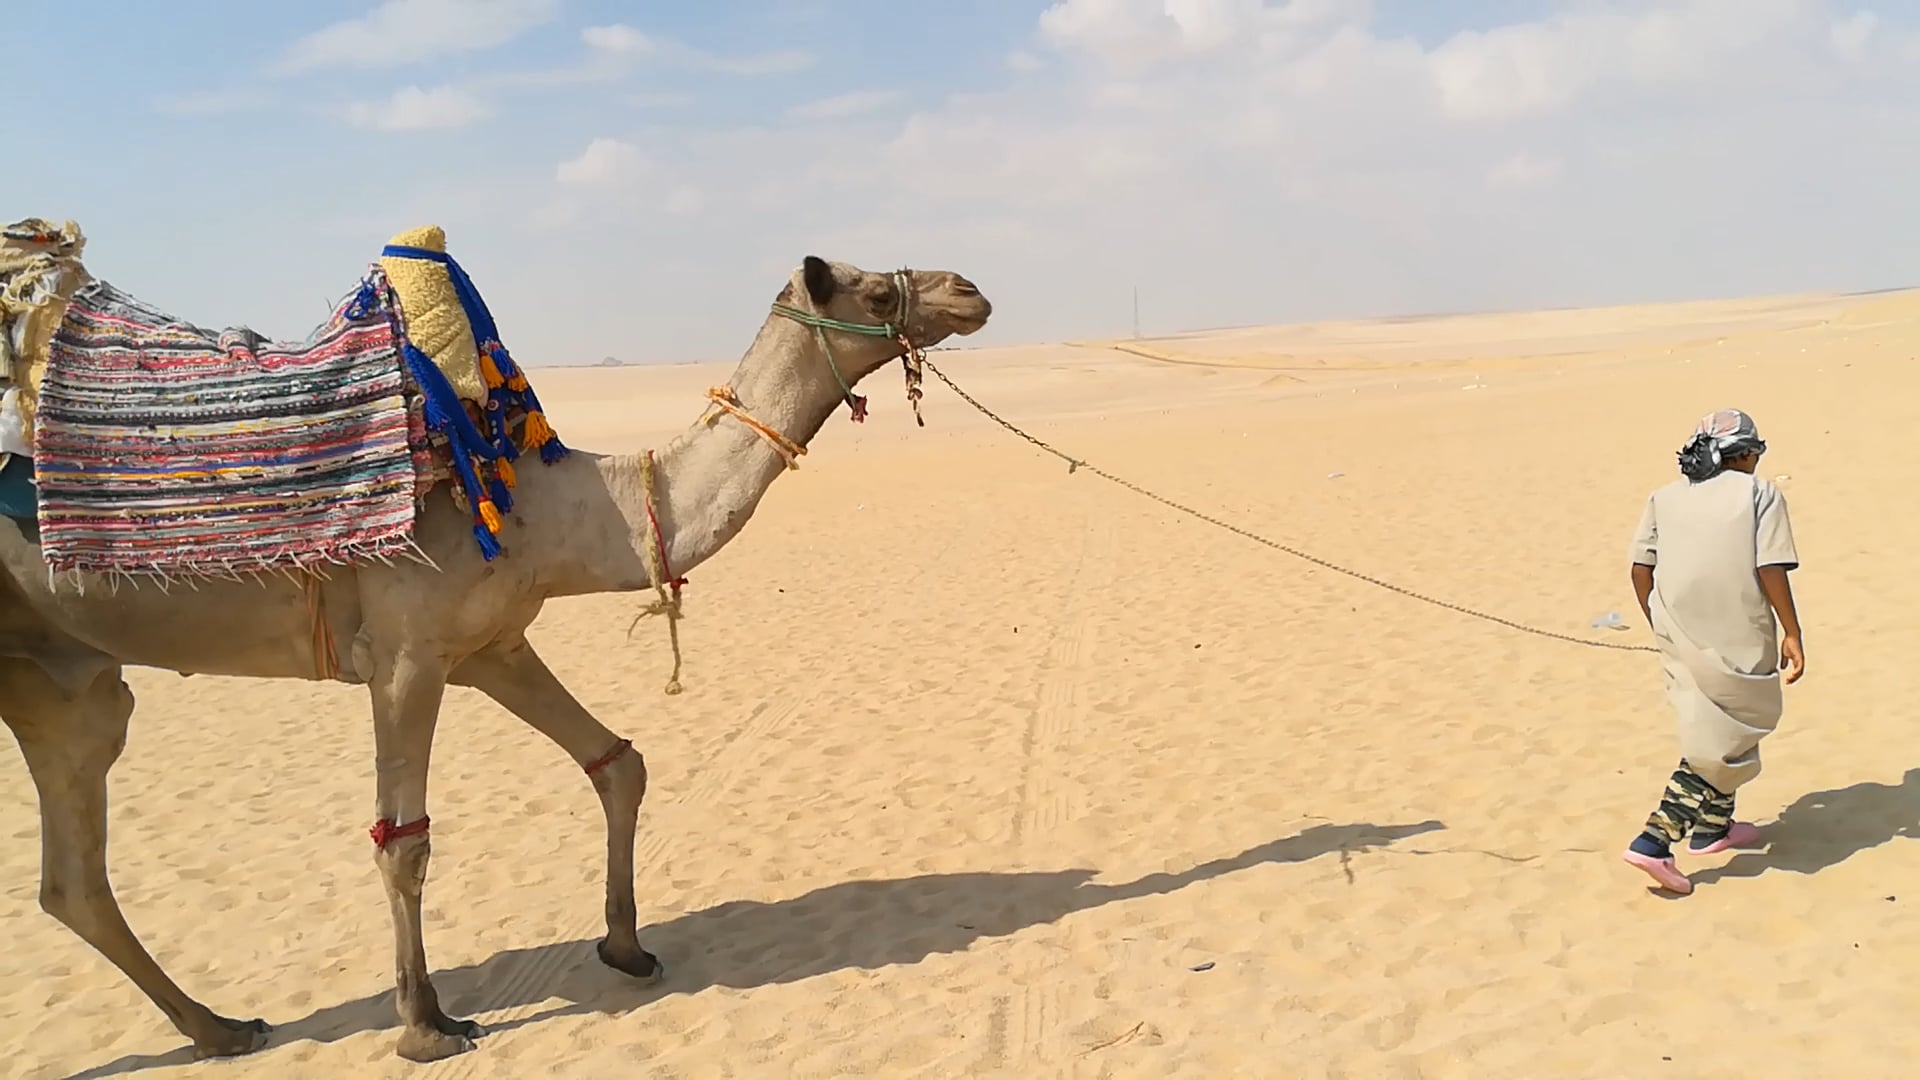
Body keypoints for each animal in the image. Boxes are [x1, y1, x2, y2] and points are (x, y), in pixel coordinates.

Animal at [0, 253, 990, 1060]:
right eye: (873, 289)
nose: (969, 291)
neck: (563, 505)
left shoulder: (492, 643)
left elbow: (618, 762)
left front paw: (626, 947)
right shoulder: (405, 654)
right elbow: (403, 844)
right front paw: (425, 1026)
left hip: (64, 678)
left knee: (72, 876)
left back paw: (219, 1028)